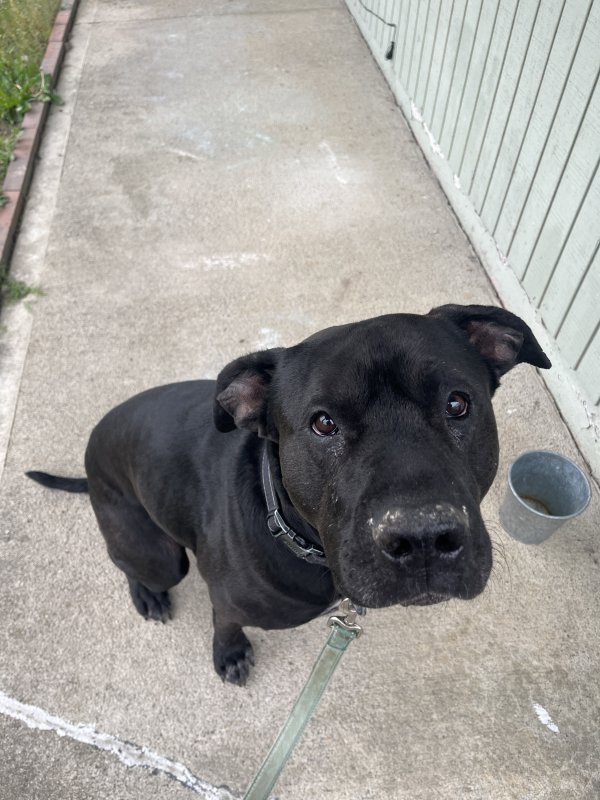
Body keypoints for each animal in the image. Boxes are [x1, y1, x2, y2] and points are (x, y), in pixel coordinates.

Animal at [30, 304, 552, 684]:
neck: (290, 527)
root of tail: (93, 445)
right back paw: (148, 595)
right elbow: (224, 619)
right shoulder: (228, 599)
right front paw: (230, 653)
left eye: (457, 403)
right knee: (130, 562)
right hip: (156, 553)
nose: (423, 538)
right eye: (323, 423)